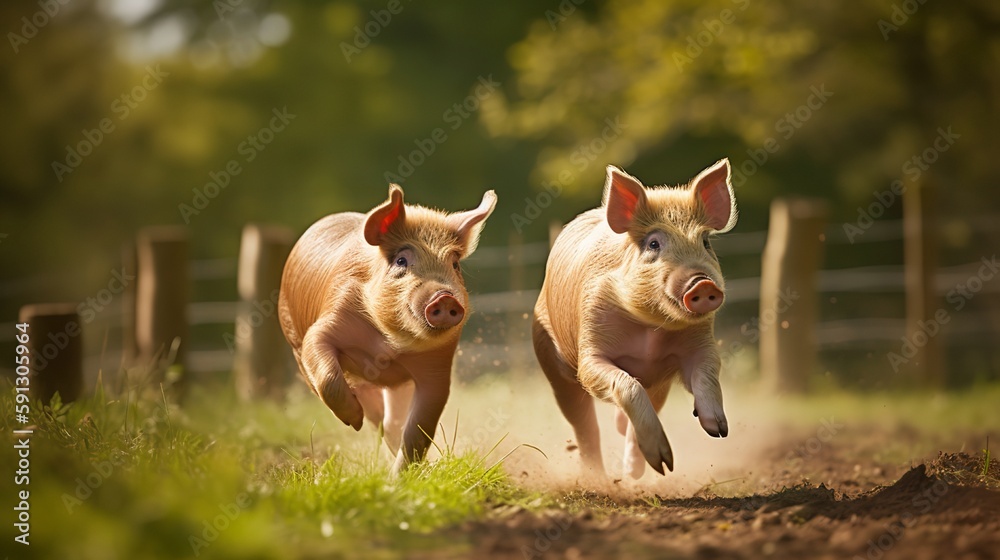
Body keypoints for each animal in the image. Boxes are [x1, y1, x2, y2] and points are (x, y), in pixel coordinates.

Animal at [278, 184, 496, 473]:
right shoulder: (325, 324)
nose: (444, 297)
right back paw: (361, 418)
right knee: (374, 416)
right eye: (401, 261)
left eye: (455, 264)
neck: (387, 345)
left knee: (391, 423)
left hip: (398, 385)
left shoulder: (437, 365)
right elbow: (325, 369)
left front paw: (399, 478)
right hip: (294, 342)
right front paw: (355, 421)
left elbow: (419, 430)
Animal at [532, 159, 737, 478]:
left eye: (705, 242)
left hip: (660, 383)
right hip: (552, 362)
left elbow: (707, 371)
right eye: (653, 244)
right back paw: (601, 476)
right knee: (584, 425)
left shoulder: (698, 346)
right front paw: (665, 464)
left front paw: (717, 429)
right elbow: (624, 384)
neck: (650, 329)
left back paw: (635, 472)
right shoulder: (591, 352)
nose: (702, 283)